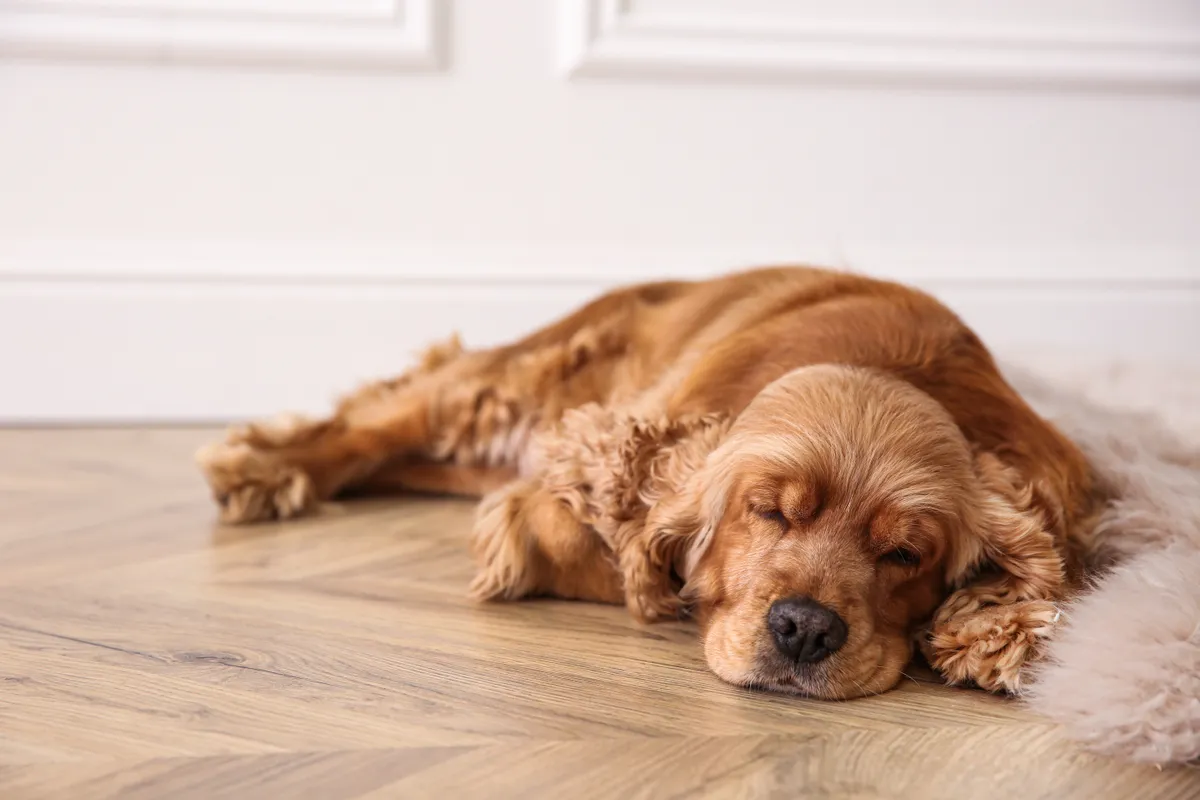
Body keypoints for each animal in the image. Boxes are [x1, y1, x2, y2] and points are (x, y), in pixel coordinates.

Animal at [199, 267, 1104, 700]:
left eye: (906, 556)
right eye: (767, 512)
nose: (805, 630)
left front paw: (995, 630)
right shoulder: (559, 491)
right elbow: (606, 555)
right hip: (521, 376)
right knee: (380, 420)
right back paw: (263, 467)